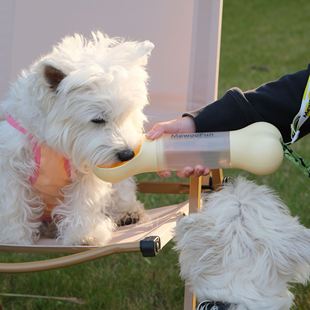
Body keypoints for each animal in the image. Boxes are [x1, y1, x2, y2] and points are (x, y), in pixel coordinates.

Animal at [0, 31, 154, 245]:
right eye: (97, 119)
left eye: (126, 115)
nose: (127, 154)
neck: (52, 145)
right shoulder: (12, 168)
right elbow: (14, 205)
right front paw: (15, 238)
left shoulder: (87, 172)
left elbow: (84, 204)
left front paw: (84, 236)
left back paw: (128, 214)